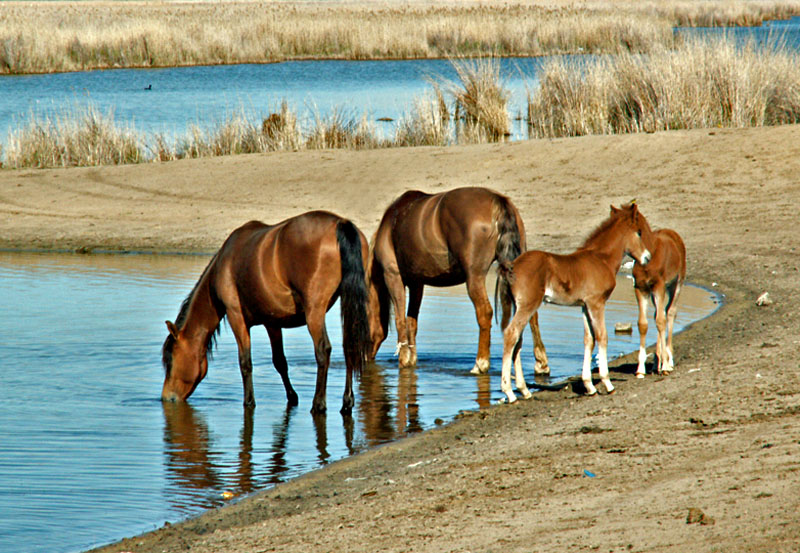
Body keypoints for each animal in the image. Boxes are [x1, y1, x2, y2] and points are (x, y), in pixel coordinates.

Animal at [165, 210, 376, 414]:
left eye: (170, 361)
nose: (167, 397)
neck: (223, 267)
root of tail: (340, 223)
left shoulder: (236, 317)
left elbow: (245, 362)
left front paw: (249, 402)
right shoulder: (272, 323)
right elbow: (279, 361)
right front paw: (292, 397)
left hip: (314, 311)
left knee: (322, 350)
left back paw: (318, 403)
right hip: (348, 303)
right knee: (350, 346)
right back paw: (347, 402)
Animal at [368, 187, 552, 376]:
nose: (366, 357)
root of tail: (498, 201)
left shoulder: (393, 275)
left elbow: (400, 319)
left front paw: (404, 359)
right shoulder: (417, 282)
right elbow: (412, 321)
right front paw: (412, 359)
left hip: (474, 277)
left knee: (484, 312)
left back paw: (480, 363)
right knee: (530, 312)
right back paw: (541, 362)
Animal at [494, 203, 656, 402]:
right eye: (639, 232)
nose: (647, 258)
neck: (601, 259)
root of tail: (512, 266)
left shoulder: (585, 306)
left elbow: (589, 339)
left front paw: (589, 386)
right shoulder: (596, 303)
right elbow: (602, 336)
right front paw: (607, 383)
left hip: (520, 306)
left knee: (518, 340)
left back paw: (524, 390)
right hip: (528, 305)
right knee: (511, 334)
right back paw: (509, 392)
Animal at [632, 227, 688, 376]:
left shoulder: (660, 287)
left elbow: (662, 319)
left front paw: (666, 365)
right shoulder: (643, 288)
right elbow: (645, 322)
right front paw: (642, 369)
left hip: (677, 283)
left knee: (670, 312)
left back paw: (669, 360)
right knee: (659, 313)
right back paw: (656, 364)